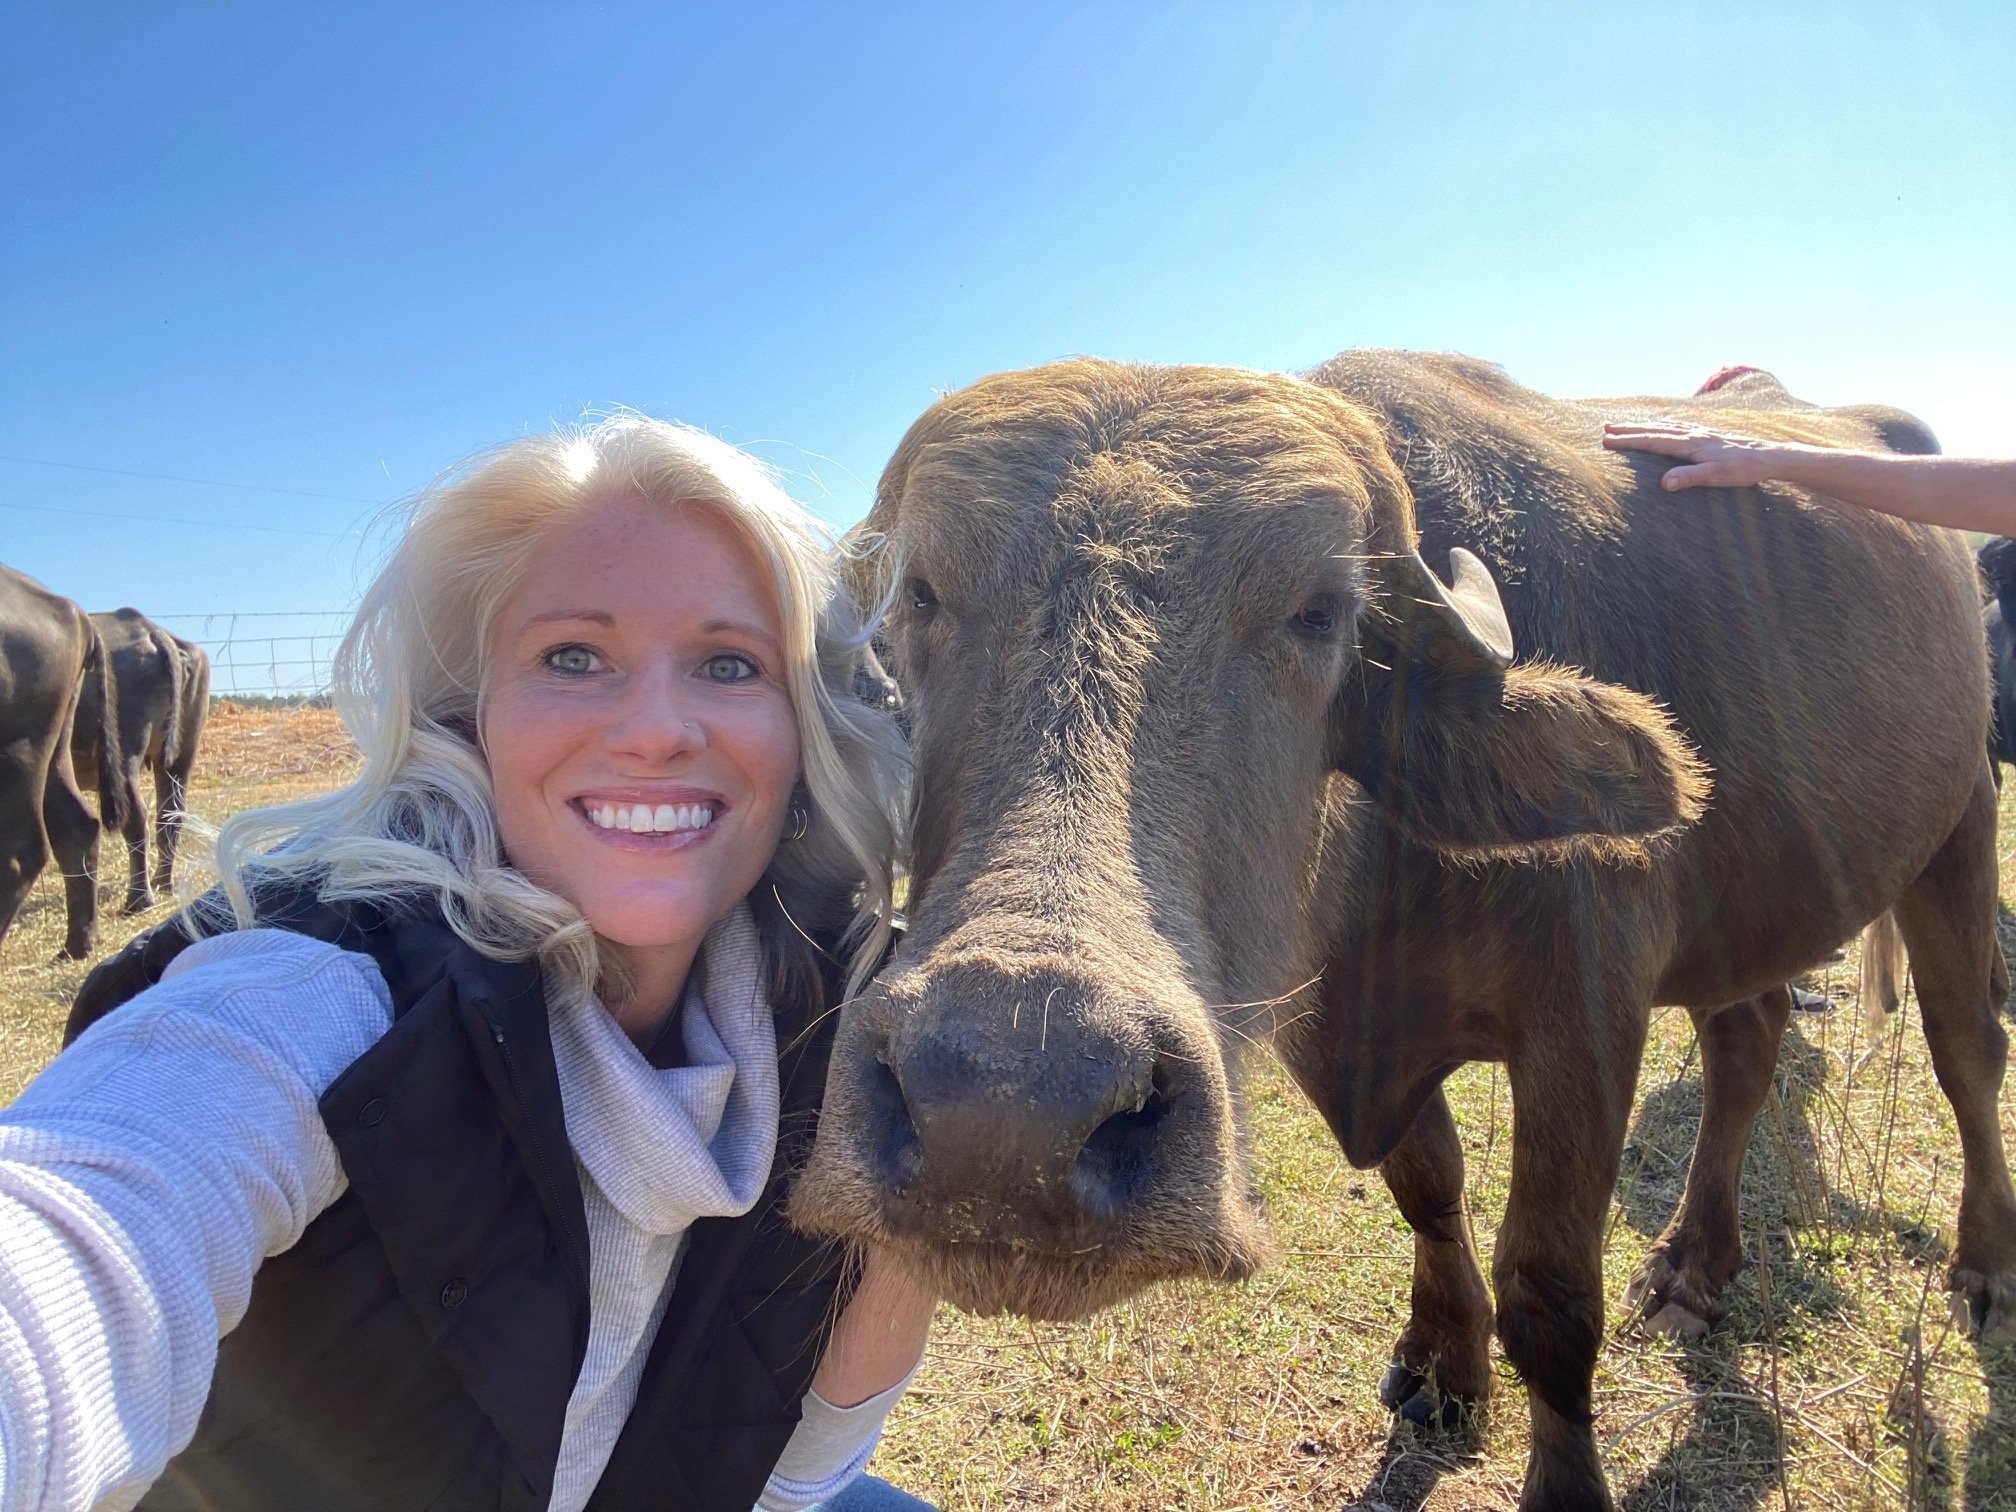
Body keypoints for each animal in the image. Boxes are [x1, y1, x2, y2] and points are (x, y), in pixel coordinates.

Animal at [0, 564, 127, 958]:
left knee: (19, 854)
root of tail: (75, 613)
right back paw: (78, 944)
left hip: (20, 753)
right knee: (77, 827)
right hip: (54, 751)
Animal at [71, 608, 211, 911]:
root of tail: (150, 629)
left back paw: (139, 898)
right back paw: (163, 883)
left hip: (125, 755)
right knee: (170, 814)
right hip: (182, 755)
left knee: (136, 819)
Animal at [789, 353, 2015, 1511]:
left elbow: (1549, 1292)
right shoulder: (1323, 1023)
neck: (1383, 891)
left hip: (1959, 818)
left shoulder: (1586, 1018)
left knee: (1966, 1048)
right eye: (921, 599)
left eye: (1317, 611)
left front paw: (1560, 1475)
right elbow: (1427, 1189)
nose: (1005, 1114)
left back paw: (1984, 1268)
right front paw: (1442, 1362)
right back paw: (1695, 1265)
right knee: (1748, 1040)